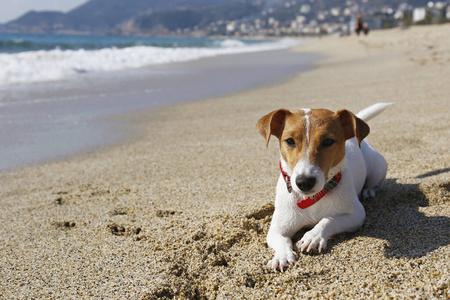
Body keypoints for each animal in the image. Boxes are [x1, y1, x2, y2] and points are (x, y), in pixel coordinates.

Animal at [256, 102, 390, 270]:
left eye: (328, 141)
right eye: (290, 141)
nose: (304, 182)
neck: (313, 198)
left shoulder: (356, 214)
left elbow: (329, 220)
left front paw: (313, 236)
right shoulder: (278, 227)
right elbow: (281, 240)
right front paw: (282, 256)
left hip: (378, 167)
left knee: (376, 182)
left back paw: (368, 191)